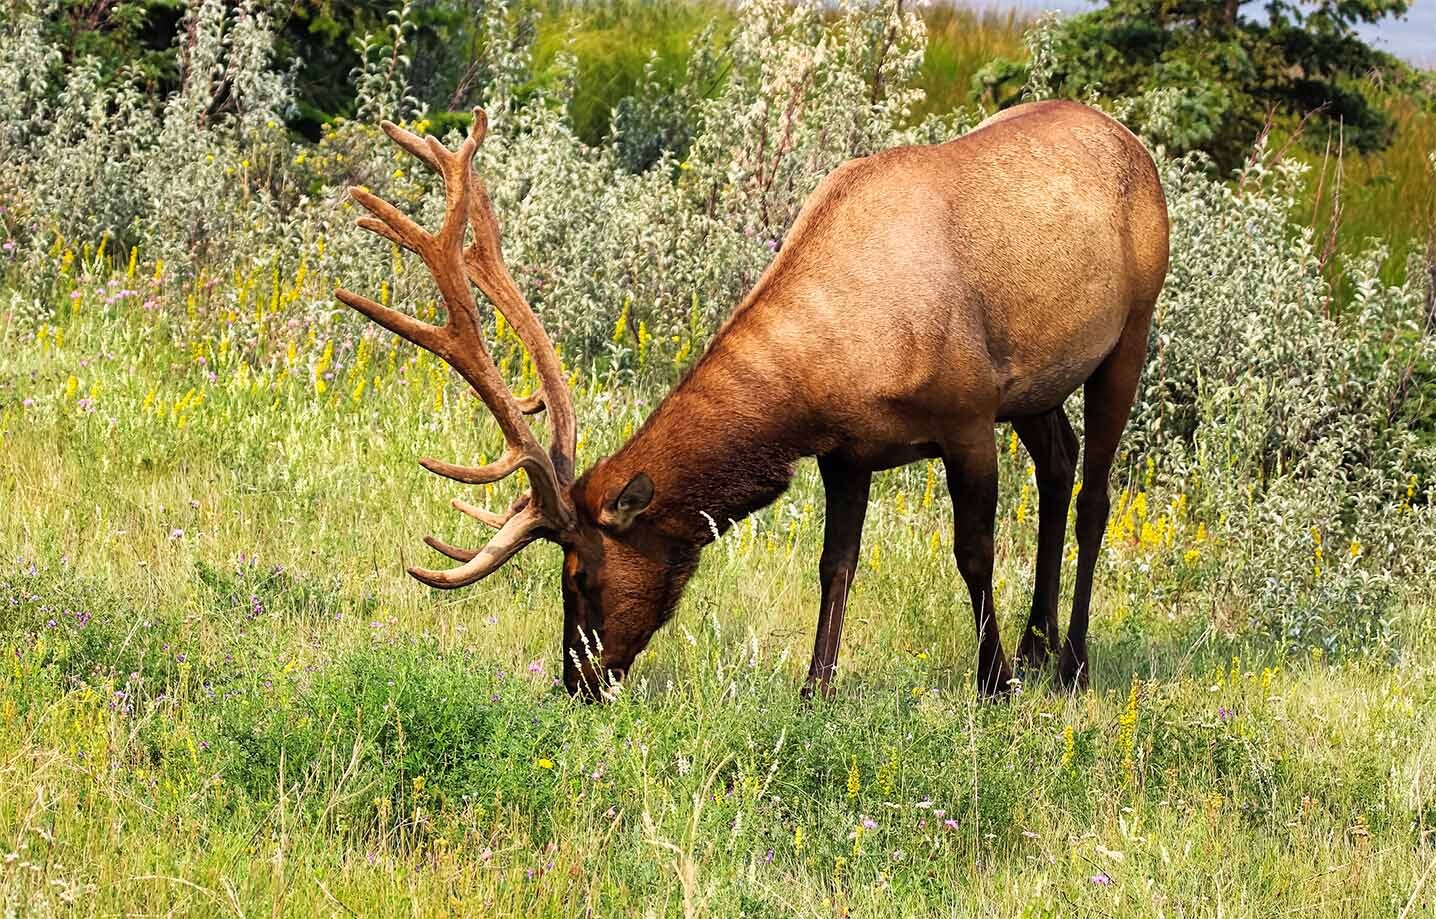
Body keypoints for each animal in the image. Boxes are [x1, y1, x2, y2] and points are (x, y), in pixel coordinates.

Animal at [335, 99, 1169, 700]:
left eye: (579, 575)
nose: (574, 683)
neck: (828, 378)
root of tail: (1136, 143)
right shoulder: (848, 451)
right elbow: (837, 564)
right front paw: (815, 688)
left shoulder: (966, 416)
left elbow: (973, 552)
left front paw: (992, 681)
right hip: (1035, 385)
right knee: (1059, 464)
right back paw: (1038, 642)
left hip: (1129, 331)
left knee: (1094, 494)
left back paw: (1069, 661)